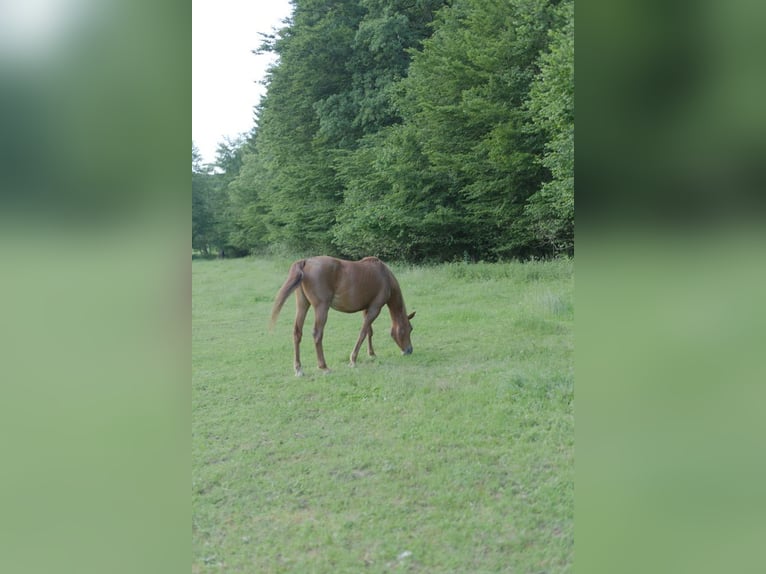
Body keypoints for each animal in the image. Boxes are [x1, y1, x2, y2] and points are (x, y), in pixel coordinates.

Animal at [270, 256, 415, 376]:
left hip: (303, 304)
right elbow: (363, 333)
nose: (409, 350)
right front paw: (353, 359)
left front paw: (371, 353)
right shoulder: (375, 308)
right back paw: (324, 367)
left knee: (297, 333)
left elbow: (369, 331)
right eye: (409, 329)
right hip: (321, 307)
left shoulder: (366, 309)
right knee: (317, 334)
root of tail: (306, 262)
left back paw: (298, 369)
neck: (385, 277)